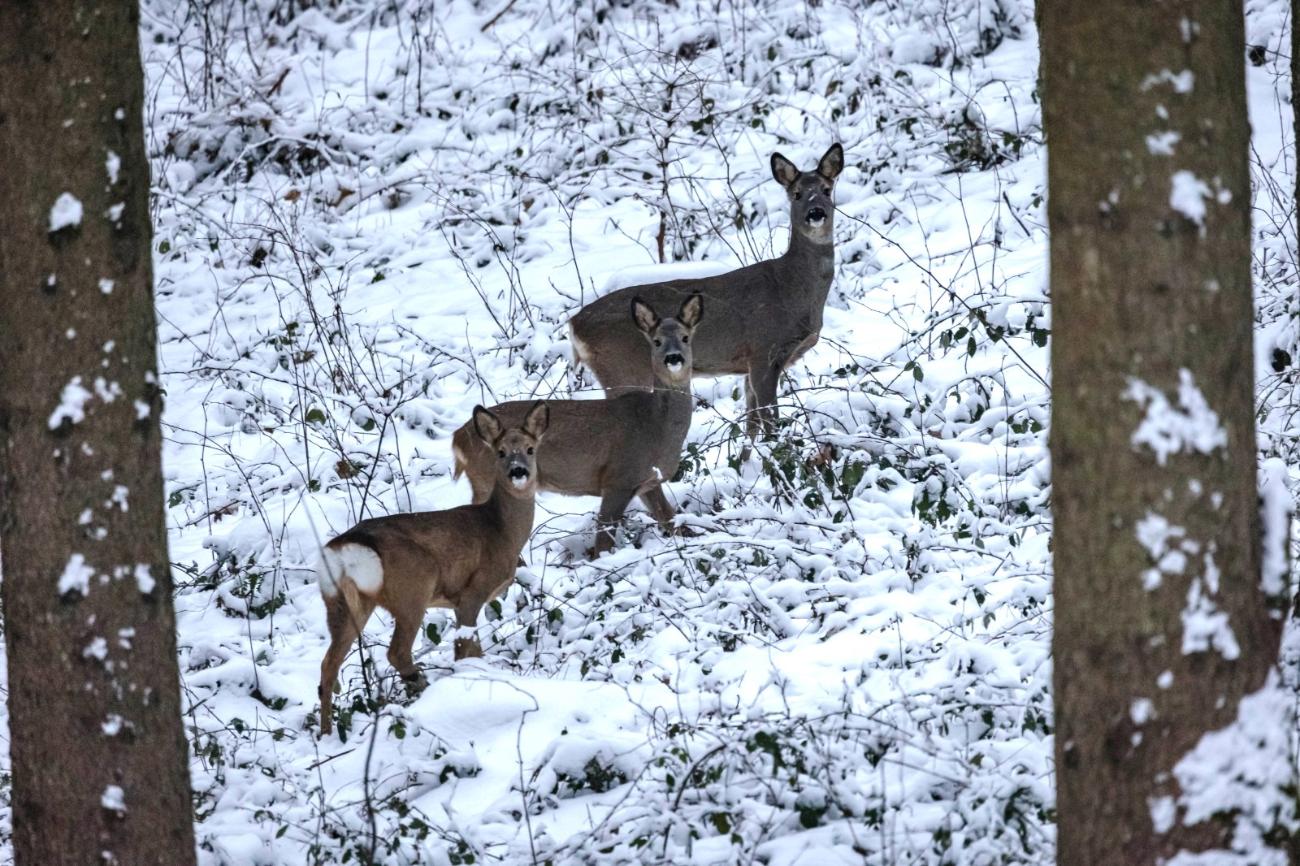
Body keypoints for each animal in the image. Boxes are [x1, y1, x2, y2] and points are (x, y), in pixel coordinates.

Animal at [315, 400, 548, 733]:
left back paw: (326, 732)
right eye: (501, 451)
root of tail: (350, 546)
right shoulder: (472, 591)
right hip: (414, 587)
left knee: (328, 665)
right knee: (396, 651)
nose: (519, 472)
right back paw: (422, 688)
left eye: (530, 449)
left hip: (342, 604)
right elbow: (468, 649)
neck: (500, 530)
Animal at [454, 293, 707, 556]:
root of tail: (457, 439)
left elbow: (671, 519)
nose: (674, 358)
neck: (656, 425)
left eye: (685, 337)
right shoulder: (619, 477)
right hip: (488, 479)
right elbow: (604, 541)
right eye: (656, 341)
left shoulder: (647, 481)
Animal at [569, 141, 842, 444]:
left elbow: (751, 426)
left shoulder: (749, 364)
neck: (791, 288)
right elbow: (771, 422)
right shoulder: (763, 350)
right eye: (796, 194)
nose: (815, 213)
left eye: (827, 189)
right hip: (623, 368)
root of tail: (574, 325)